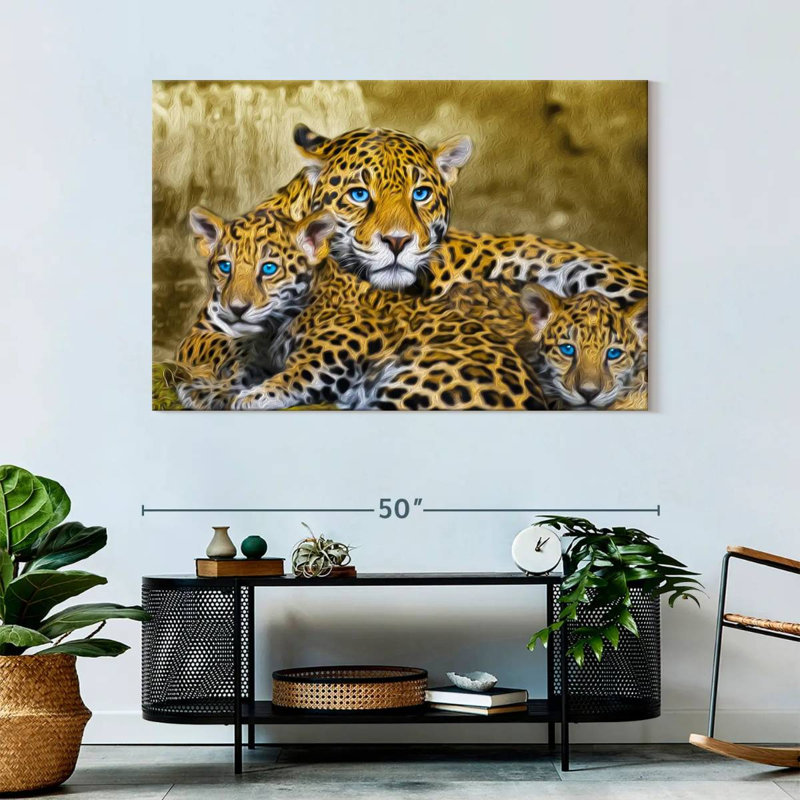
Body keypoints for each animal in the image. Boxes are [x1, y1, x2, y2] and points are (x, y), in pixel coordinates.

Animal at [176, 208, 547, 411]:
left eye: (268, 269)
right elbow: (241, 373)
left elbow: (297, 374)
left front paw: (255, 395)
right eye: (224, 266)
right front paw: (205, 390)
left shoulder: (339, 350)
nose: (236, 309)